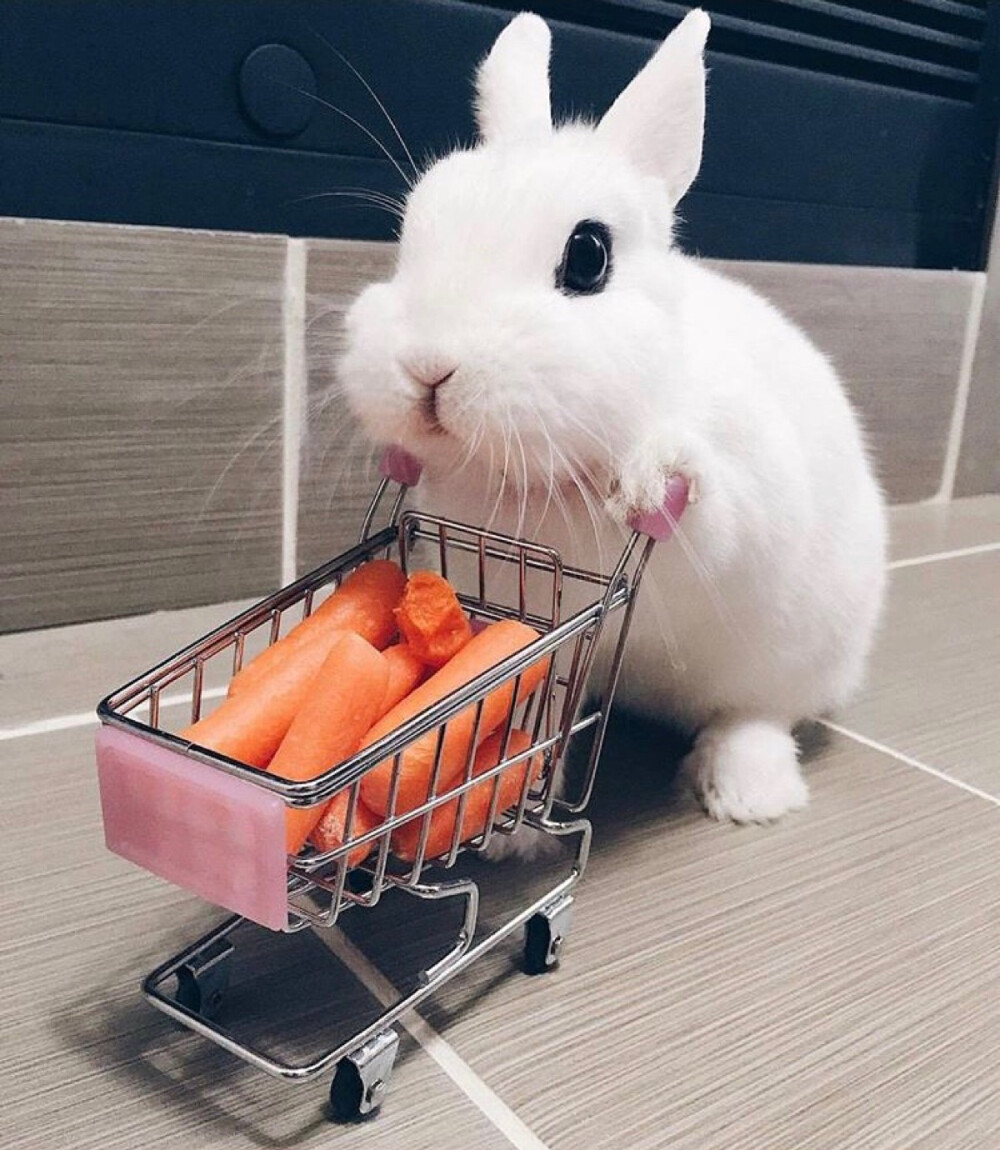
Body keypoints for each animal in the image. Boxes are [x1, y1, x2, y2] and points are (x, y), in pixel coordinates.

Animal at [338, 9, 887, 825]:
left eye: (588, 256)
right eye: (412, 232)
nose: (428, 367)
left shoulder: (741, 492)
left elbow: (707, 508)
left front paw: (650, 478)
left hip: (805, 650)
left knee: (759, 713)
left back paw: (747, 793)